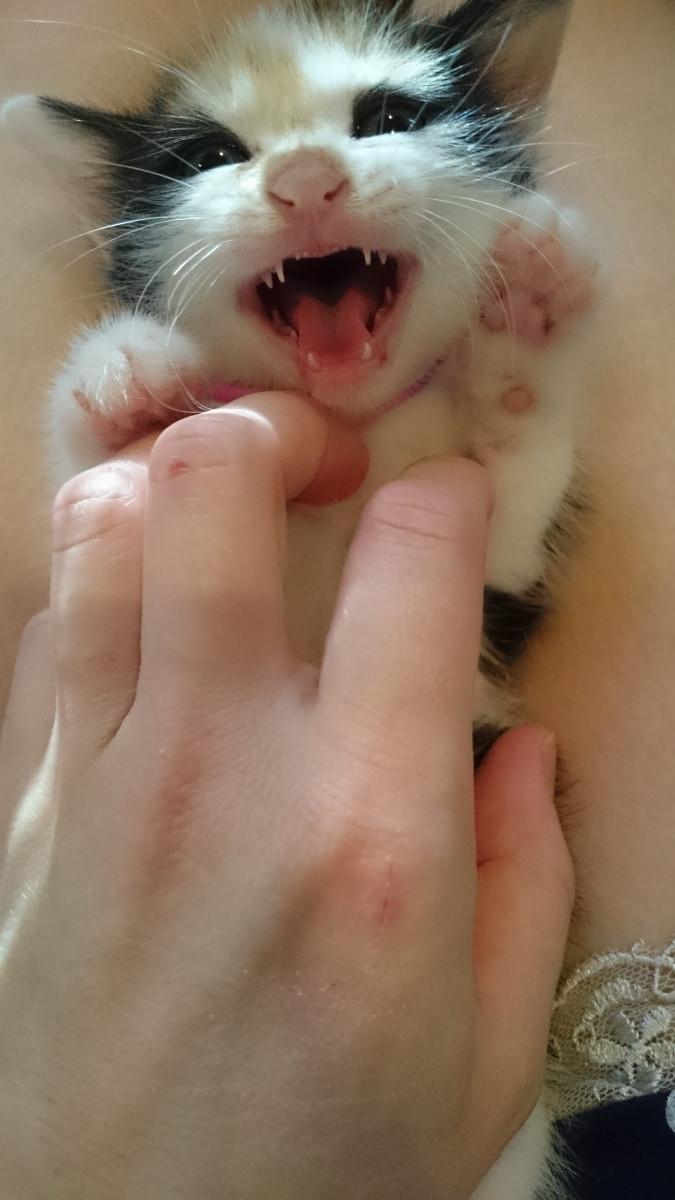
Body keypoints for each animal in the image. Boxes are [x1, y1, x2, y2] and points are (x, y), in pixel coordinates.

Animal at [2, 1, 601, 1194]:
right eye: (207, 157)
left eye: (389, 119)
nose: (308, 181)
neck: (359, 431)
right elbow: (98, 457)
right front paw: (120, 380)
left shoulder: (504, 583)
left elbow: (512, 497)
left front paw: (528, 327)